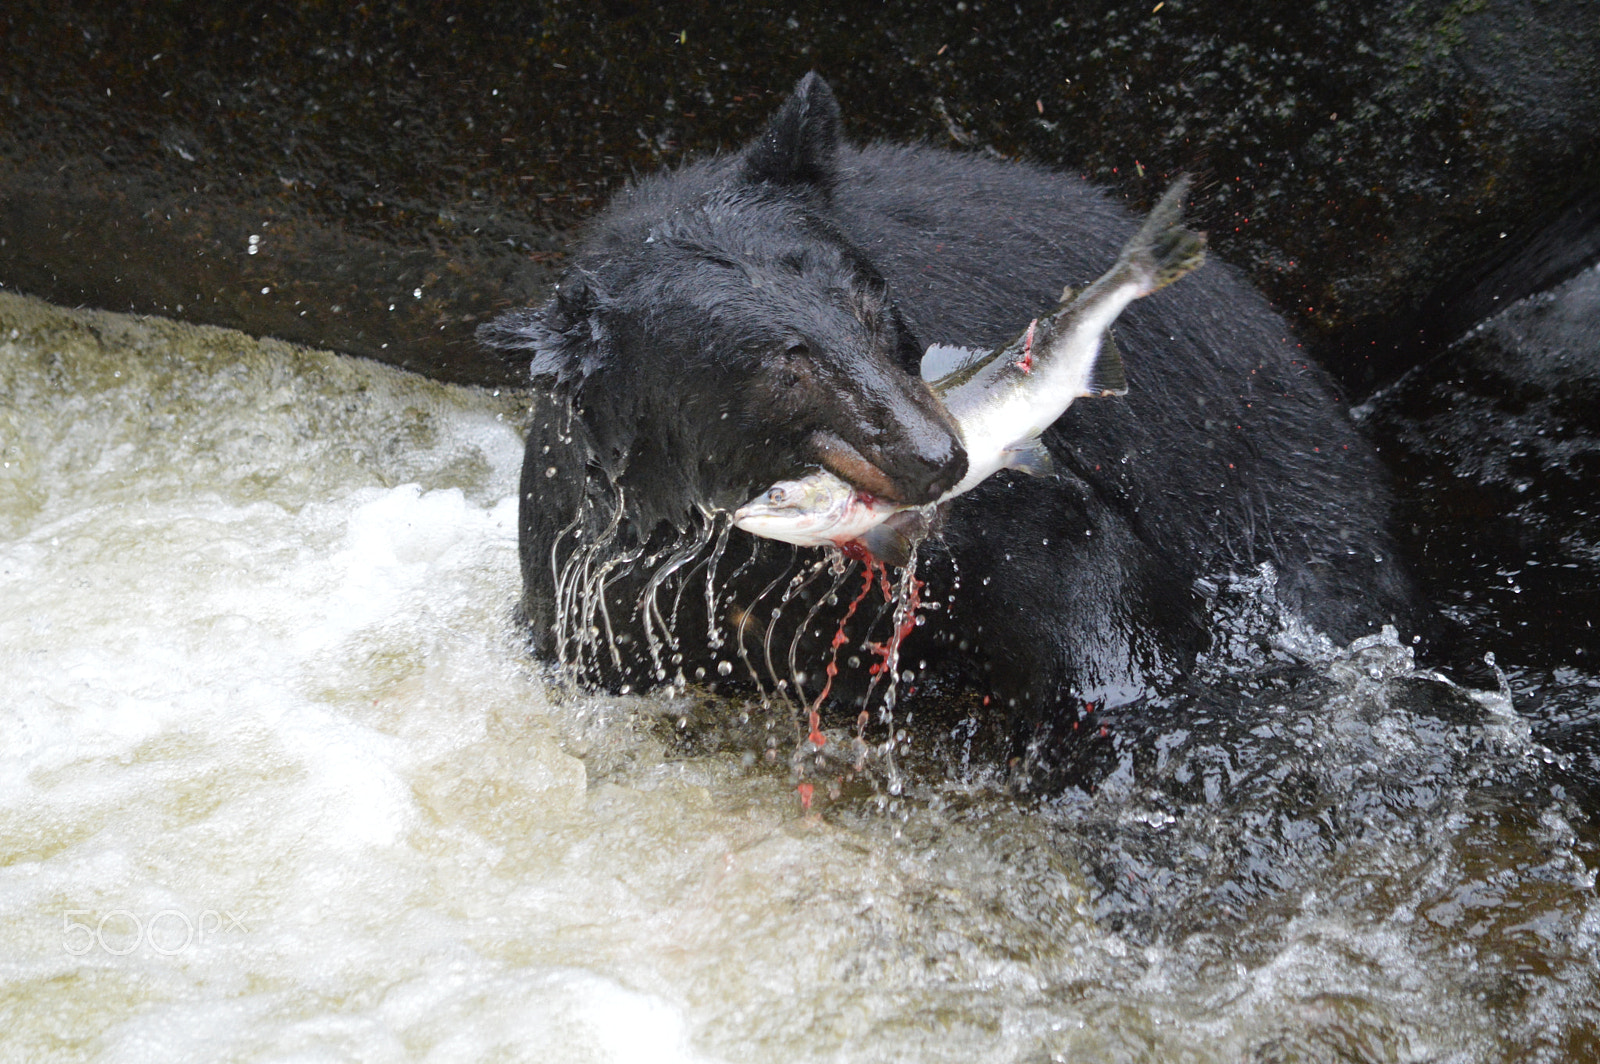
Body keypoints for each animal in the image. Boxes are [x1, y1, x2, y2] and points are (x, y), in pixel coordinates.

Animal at [480, 72, 1423, 774]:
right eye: (781, 363)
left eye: (869, 305)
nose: (938, 455)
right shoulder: (597, 580)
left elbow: (1098, 605)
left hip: (1285, 500)